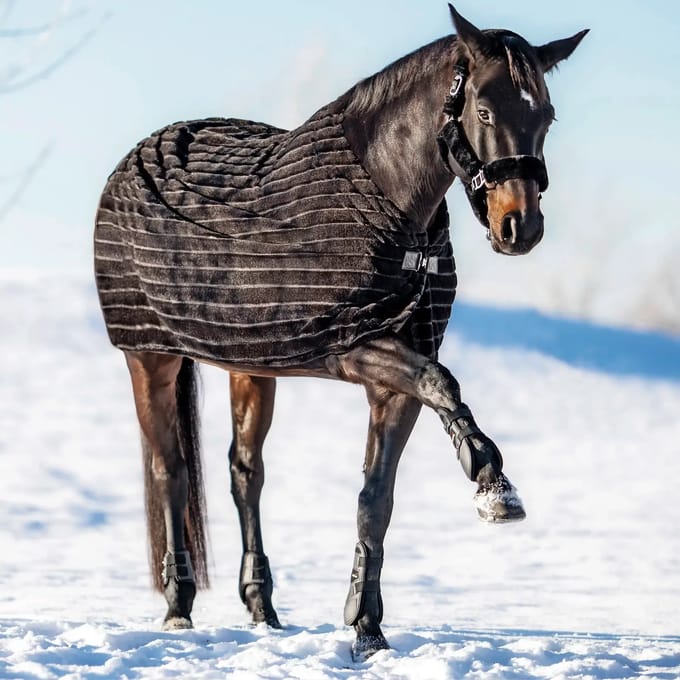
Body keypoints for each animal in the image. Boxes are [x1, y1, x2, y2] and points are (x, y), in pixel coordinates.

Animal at [93, 4, 586, 660]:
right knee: (169, 470)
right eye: (483, 110)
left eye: (546, 116)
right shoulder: (352, 346)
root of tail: (136, 156)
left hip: (252, 363)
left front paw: (367, 629)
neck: (389, 203)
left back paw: (263, 609)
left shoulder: (393, 381)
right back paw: (178, 609)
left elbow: (376, 500)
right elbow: (445, 382)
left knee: (245, 474)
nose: (520, 227)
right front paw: (491, 479)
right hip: (150, 355)